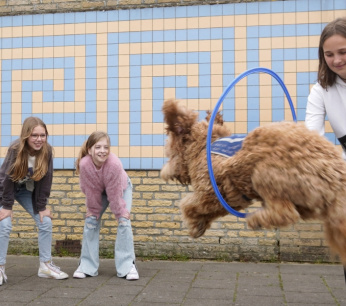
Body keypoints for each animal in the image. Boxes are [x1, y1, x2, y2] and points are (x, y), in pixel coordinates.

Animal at [162, 99, 346, 264]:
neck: (203, 148)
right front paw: (199, 226)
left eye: (169, 153)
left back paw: (256, 220)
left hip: (264, 174)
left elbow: (188, 205)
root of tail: (336, 173)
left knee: (286, 213)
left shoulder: (209, 192)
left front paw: (193, 226)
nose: (163, 172)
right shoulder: (227, 201)